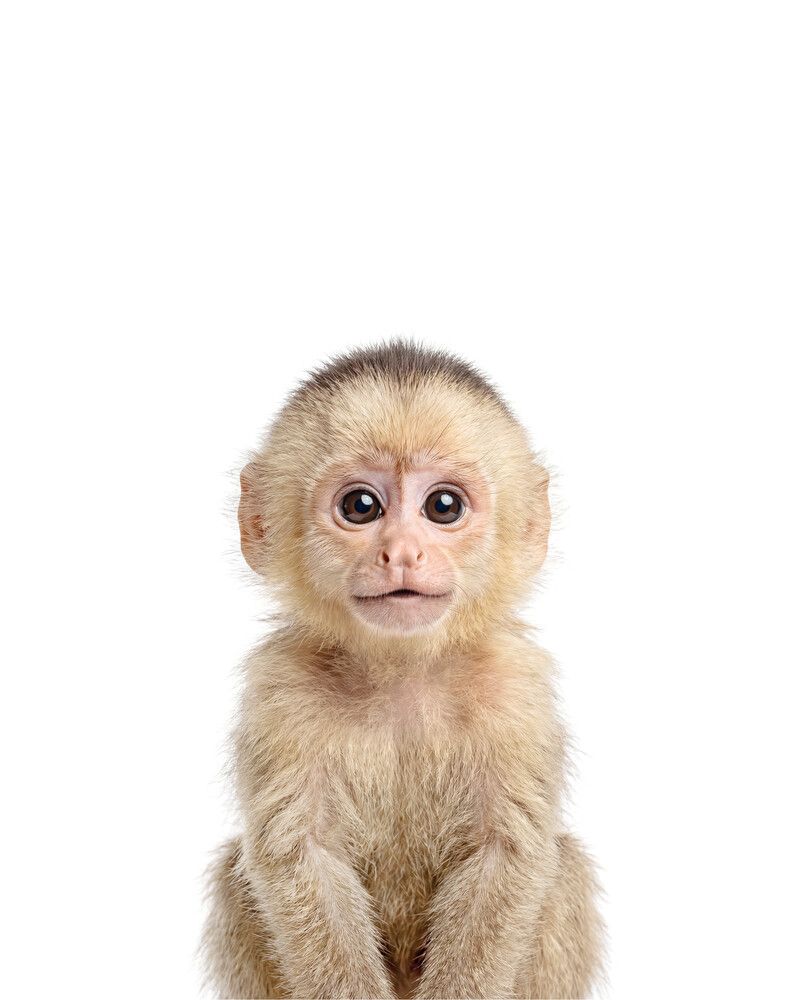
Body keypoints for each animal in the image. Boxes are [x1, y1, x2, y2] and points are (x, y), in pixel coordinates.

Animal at [202, 341, 604, 999]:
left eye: (444, 506)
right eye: (360, 506)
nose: (402, 554)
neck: (403, 675)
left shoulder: (515, 691)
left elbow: (506, 855)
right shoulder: (281, 692)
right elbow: (300, 856)